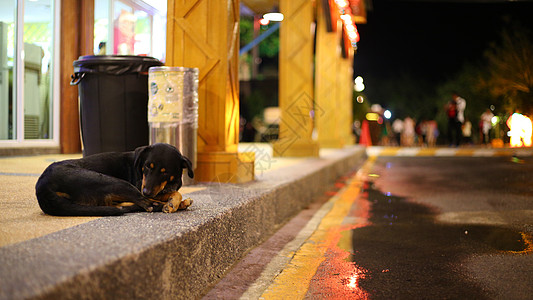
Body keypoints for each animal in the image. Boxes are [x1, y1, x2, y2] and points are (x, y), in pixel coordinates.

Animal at [35, 143, 193, 216]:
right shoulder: (140, 185)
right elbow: (174, 193)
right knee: (146, 203)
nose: (146, 191)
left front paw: (177, 202)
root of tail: (42, 188)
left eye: (165, 172)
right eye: (148, 166)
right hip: (114, 182)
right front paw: (173, 203)